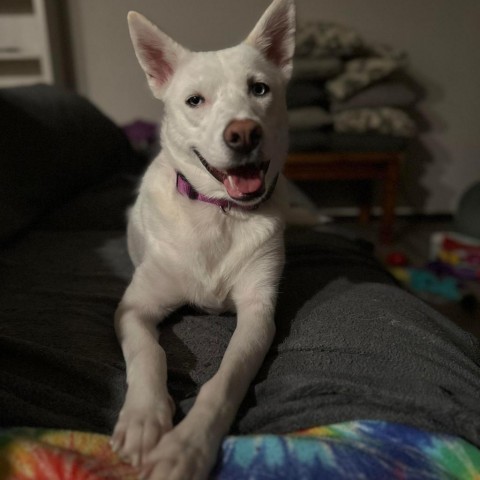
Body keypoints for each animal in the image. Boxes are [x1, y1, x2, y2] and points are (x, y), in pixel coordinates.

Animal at [110, 1, 294, 478]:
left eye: (260, 89)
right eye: (195, 100)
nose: (243, 133)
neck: (219, 214)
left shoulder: (257, 315)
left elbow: (224, 381)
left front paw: (185, 448)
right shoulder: (134, 308)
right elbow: (149, 354)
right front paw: (143, 418)